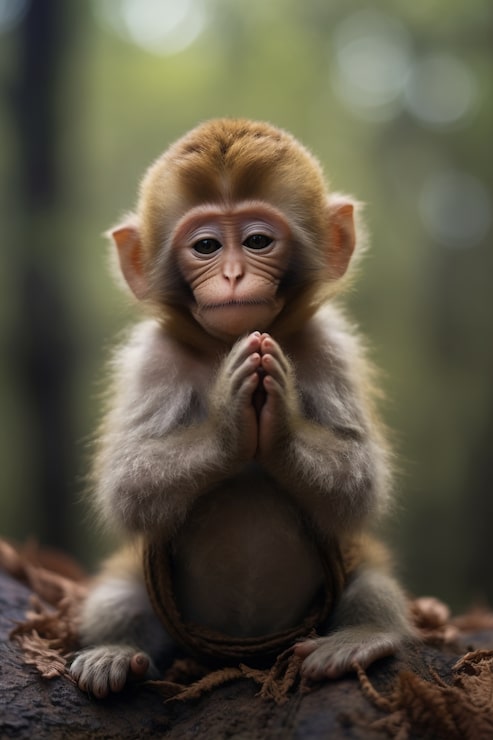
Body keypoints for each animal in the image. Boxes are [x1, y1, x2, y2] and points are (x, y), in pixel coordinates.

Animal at [70, 119, 415, 698]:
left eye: (257, 241)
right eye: (206, 245)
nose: (232, 274)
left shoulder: (332, 345)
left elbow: (359, 483)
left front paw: (281, 429)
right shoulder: (151, 358)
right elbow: (128, 487)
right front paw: (229, 426)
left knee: (372, 580)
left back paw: (361, 637)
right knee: (117, 593)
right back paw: (116, 652)